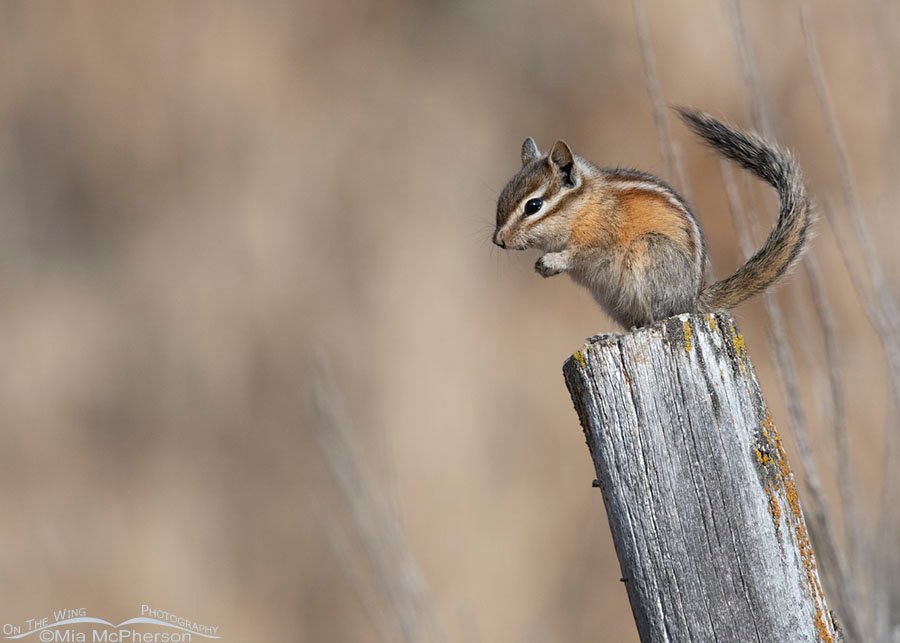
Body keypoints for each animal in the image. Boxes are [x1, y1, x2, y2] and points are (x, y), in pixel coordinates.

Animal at [492, 108, 812, 328]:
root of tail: (692, 300)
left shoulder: (602, 240)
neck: (584, 206)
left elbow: (582, 254)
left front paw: (551, 261)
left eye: (533, 206)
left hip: (650, 251)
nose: (499, 241)